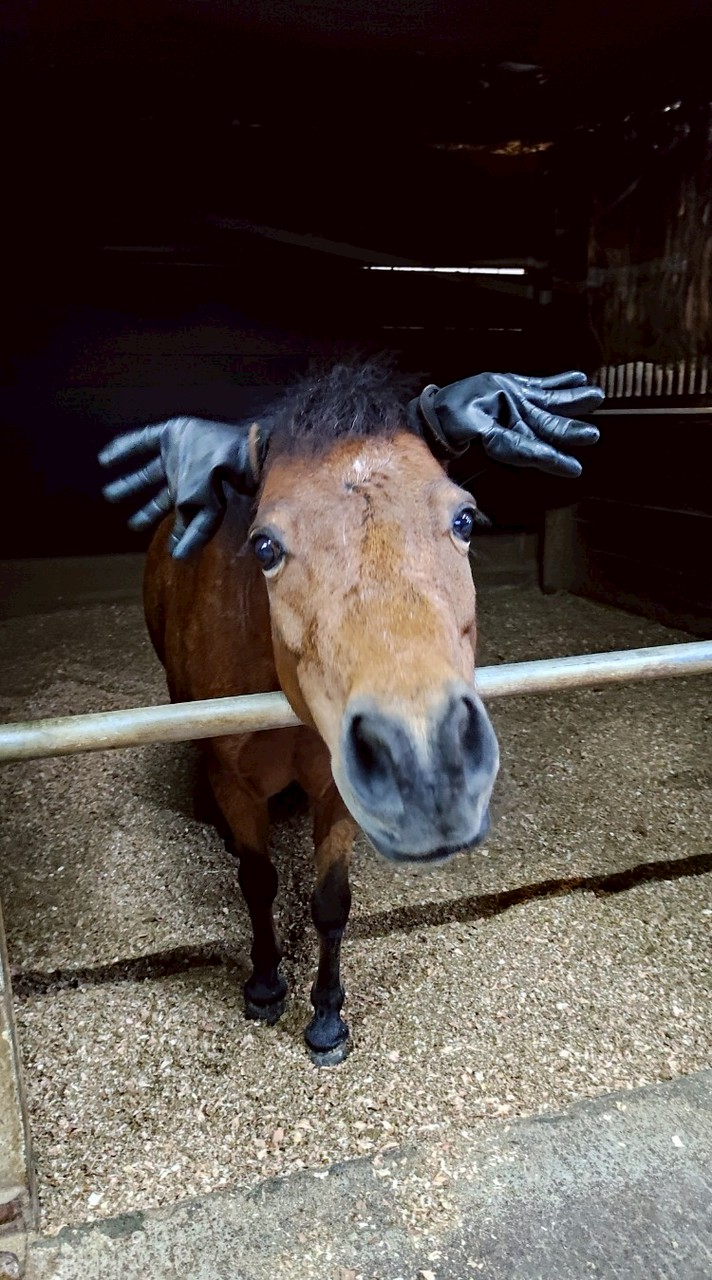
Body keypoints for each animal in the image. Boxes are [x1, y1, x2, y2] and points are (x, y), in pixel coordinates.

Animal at [143, 361, 500, 1064]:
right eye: (264, 547)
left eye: (466, 520)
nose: (428, 766)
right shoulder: (237, 781)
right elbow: (257, 882)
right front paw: (263, 987)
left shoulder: (339, 792)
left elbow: (331, 902)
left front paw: (328, 1017)